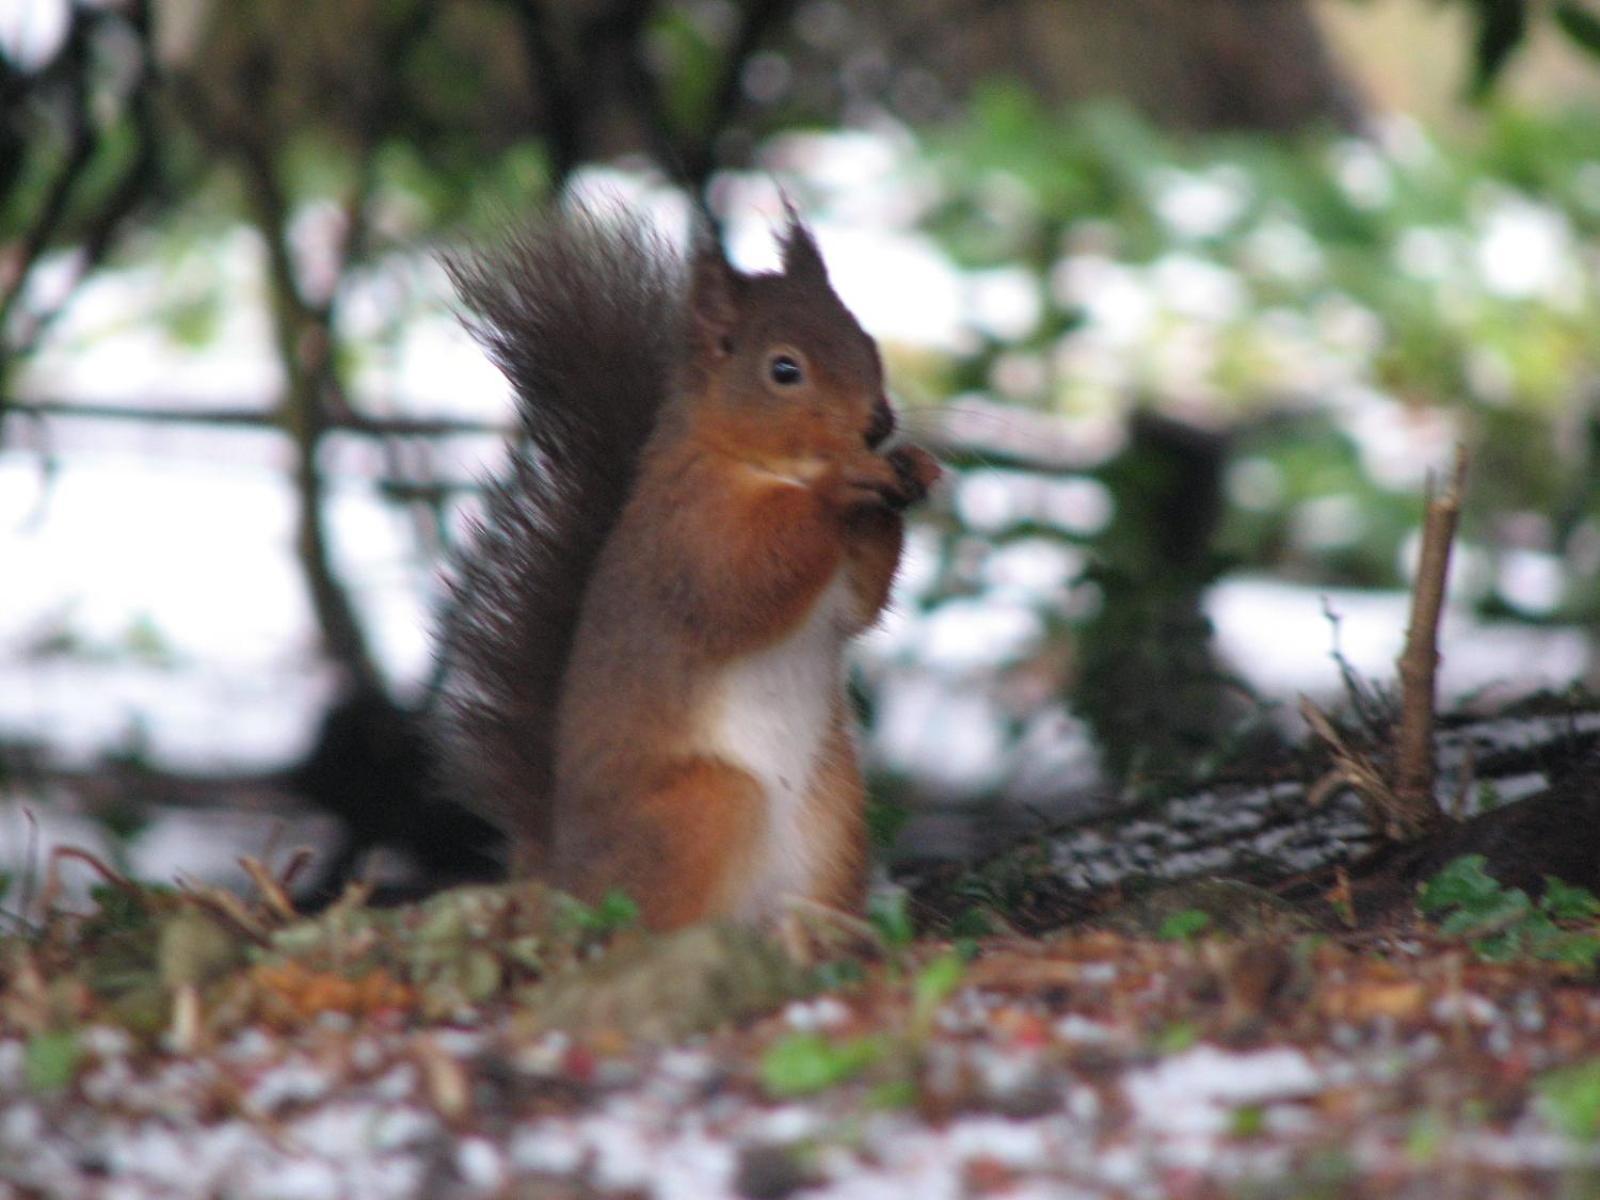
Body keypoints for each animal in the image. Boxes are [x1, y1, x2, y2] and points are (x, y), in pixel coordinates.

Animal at [438, 202, 934, 928]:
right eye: (784, 370)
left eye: (865, 337)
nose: (877, 424)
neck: (766, 468)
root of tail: (562, 875)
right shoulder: (687, 530)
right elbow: (738, 584)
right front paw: (840, 487)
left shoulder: (841, 585)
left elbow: (859, 604)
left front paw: (914, 467)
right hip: (707, 805)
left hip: (837, 814)